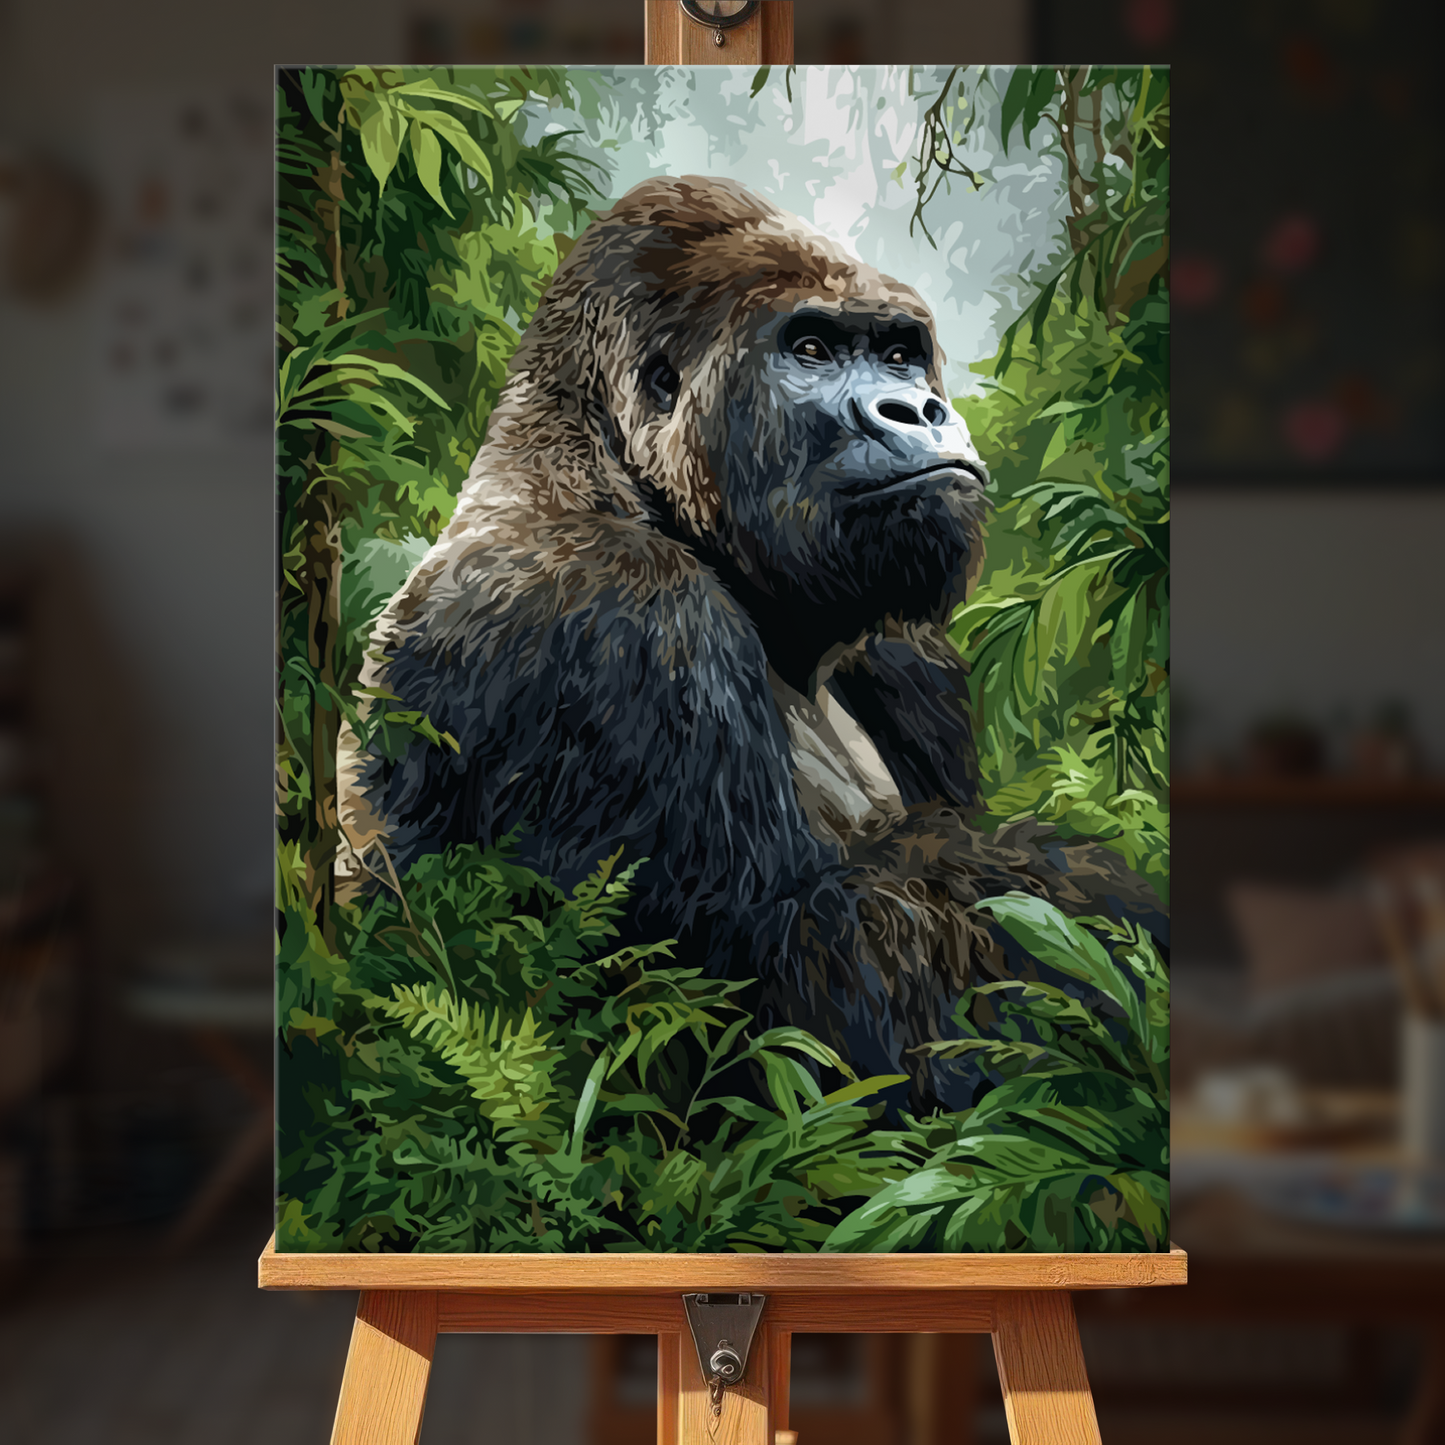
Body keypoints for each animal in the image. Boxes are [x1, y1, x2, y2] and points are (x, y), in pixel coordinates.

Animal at [340, 175, 1163, 1111]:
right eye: (808, 348)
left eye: (897, 353)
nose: (918, 407)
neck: (603, 470)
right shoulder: (621, 617)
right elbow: (800, 1008)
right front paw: (1086, 882)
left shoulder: (906, 650)